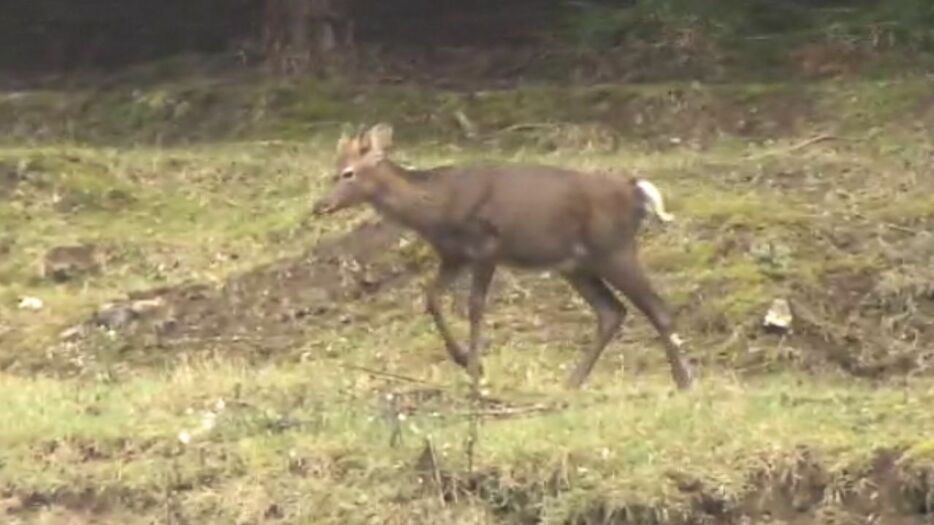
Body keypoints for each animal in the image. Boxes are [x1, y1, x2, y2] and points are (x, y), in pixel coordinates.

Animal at [312, 121, 696, 386]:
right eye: (333, 171)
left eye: (348, 172)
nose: (321, 205)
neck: (438, 209)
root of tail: (636, 191)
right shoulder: (454, 255)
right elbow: (431, 297)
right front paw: (464, 359)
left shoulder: (486, 246)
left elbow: (475, 308)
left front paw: (474, 369)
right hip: (576, 265)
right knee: (611, 312)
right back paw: (573, 382)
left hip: (614, 249)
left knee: (658, 309)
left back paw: (684, 380)